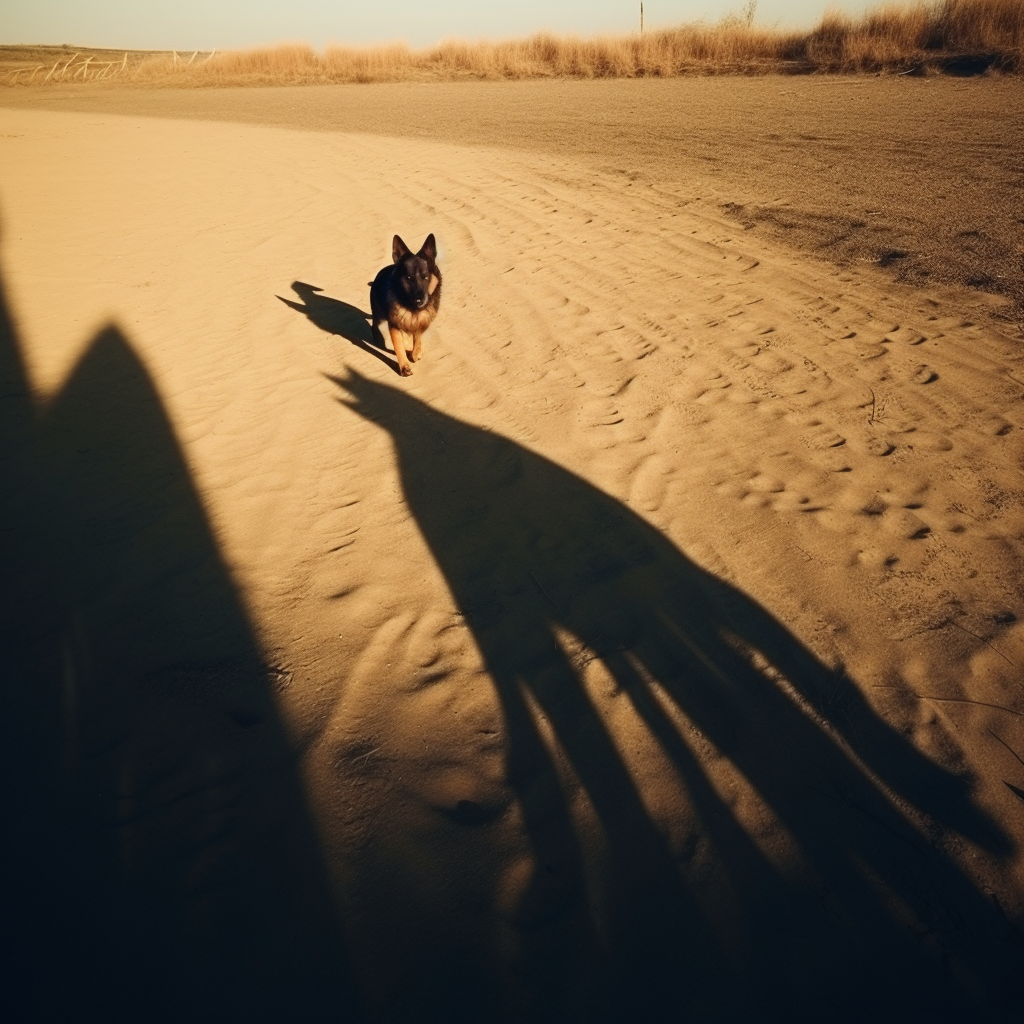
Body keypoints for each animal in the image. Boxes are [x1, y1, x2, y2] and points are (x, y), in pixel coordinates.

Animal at [372, 234, 444, 376]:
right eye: (409, 278)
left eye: (425, 276)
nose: (419, 300)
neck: (412, 308)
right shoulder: (394, 324)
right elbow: (399, 345)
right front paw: (404, 366)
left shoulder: (423, 321)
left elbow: (418, 336)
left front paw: (415, 353)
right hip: (379, 316)